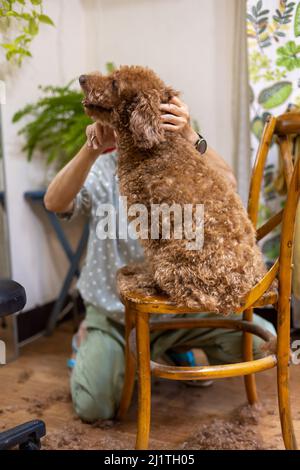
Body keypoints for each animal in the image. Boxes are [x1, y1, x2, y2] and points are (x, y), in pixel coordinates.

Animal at [79, 64, 264, 314]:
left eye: (115, 83)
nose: (82, 78)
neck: (157, 147)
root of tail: (238, 295)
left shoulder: (149, 218)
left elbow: (150, 253)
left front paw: (143, 277)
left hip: (173, 262)